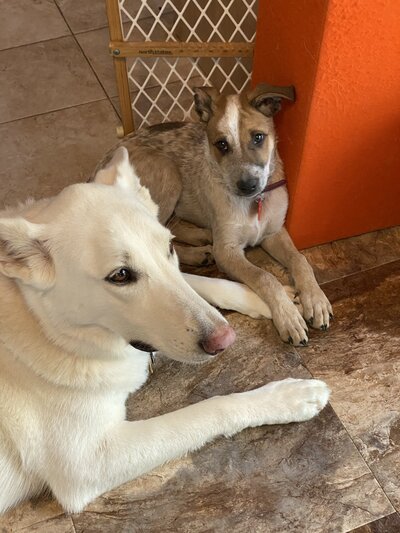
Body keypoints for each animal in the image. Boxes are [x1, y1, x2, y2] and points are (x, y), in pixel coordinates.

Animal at [0, 148, 330, 512]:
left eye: (169, 248)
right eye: (120, 275)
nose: (224, 340)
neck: (48, 325)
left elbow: (200, 281)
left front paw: (276, 300)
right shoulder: (89, 462)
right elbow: (212, 408)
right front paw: (287, 396)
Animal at [96, 84, 332, 344]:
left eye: (258, 137)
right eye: (221, 144)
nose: (247, 185)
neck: (253, 203)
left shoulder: (274, 233)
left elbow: (300, 260)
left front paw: (316, 299)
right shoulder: (227, 251)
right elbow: (265, 277)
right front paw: (289, 317)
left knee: (170, 228)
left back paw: (201, 238)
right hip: (168, 171)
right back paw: (199, 252)